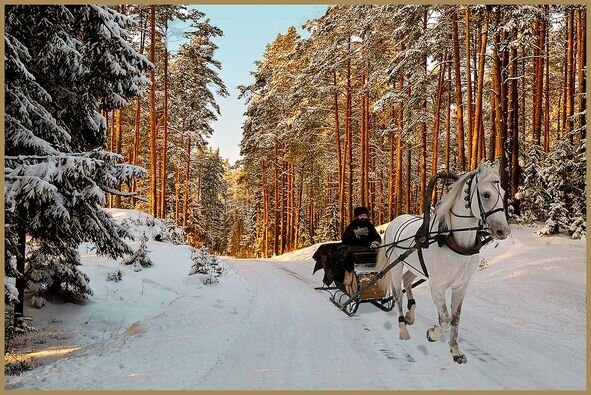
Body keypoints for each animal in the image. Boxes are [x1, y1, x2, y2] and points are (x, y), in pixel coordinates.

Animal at [380, 160, 508, 366]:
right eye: (486, 194)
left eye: (503, 193)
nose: (503, 230)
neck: (454, 242)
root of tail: (395, 220)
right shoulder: (437, 286)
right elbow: (446, 319)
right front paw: (432, 334)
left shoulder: (461, 286)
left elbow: (455, 318)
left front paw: (456, 351)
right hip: (396, 264)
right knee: (398, 294)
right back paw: (403, 329)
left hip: (416, 267)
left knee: (407, 281)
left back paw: (410, 315)